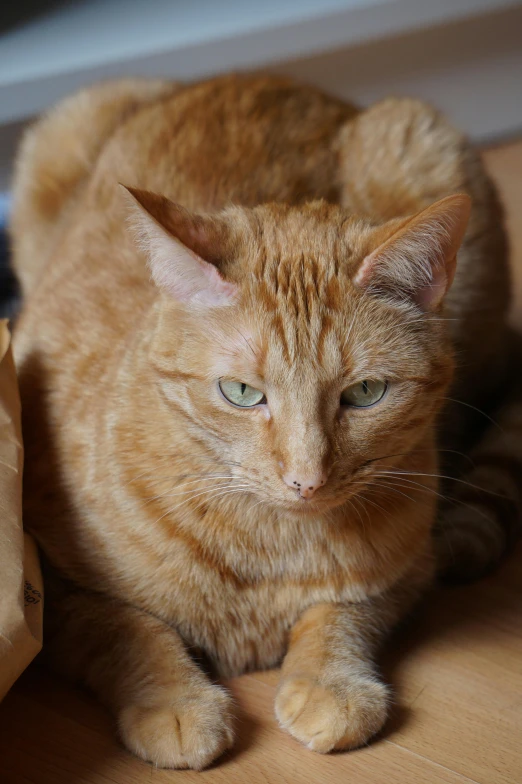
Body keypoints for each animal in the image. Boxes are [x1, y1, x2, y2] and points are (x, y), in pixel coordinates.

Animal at [9, 76, 520, 768]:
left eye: (365, 393)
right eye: (242, 392)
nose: (306, 478)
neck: (266, 547)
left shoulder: (409, 567)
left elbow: (344, 613)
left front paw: (330, 686)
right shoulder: (45, 583)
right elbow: (122, 626)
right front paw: (174, 702)